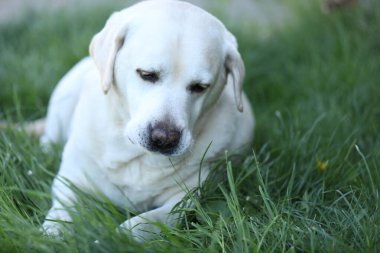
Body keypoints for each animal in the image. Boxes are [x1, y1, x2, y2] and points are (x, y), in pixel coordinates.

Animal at [40, 0, 255, 240]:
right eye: (146, 74)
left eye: (200, 87)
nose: (165, 138)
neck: (137, 157)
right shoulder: (71, 180)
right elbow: (62, 210)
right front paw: (53, 233)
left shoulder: (187, 198)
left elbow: (148, 221)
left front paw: (120, 236)